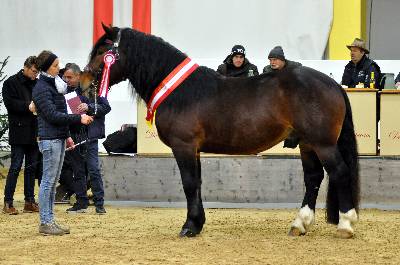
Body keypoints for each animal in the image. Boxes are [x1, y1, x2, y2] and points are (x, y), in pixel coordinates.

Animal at [81, 24, 360, 238]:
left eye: (104, 50)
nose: (83, 83)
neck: (181, 91)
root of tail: (333, 83)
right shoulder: (193, 149)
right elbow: (197, 183)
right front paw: (198, 223)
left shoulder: (184, 146)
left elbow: (189, 183)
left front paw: (189, 227)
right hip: (307, 144)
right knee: (313, 178)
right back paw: (299, 224)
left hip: (322, 143)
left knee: (339, 172)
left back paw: (346, 225)